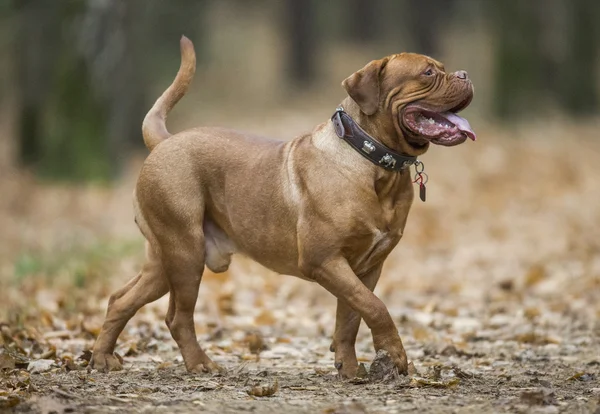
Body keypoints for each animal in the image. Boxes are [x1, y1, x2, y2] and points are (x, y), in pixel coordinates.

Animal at [90, 36, 474, 378]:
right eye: (428, 72)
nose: (465, 74)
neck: (374, 163)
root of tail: (165, 142)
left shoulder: (366, 267)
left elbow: (350, 317)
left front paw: (350, 370)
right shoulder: (324, 260)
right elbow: (375, 307)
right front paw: (394, 355)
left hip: (165, 261)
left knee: (121, 299)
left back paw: (102, 358)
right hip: (185, 252)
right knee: (178, 317)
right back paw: (200, 364)